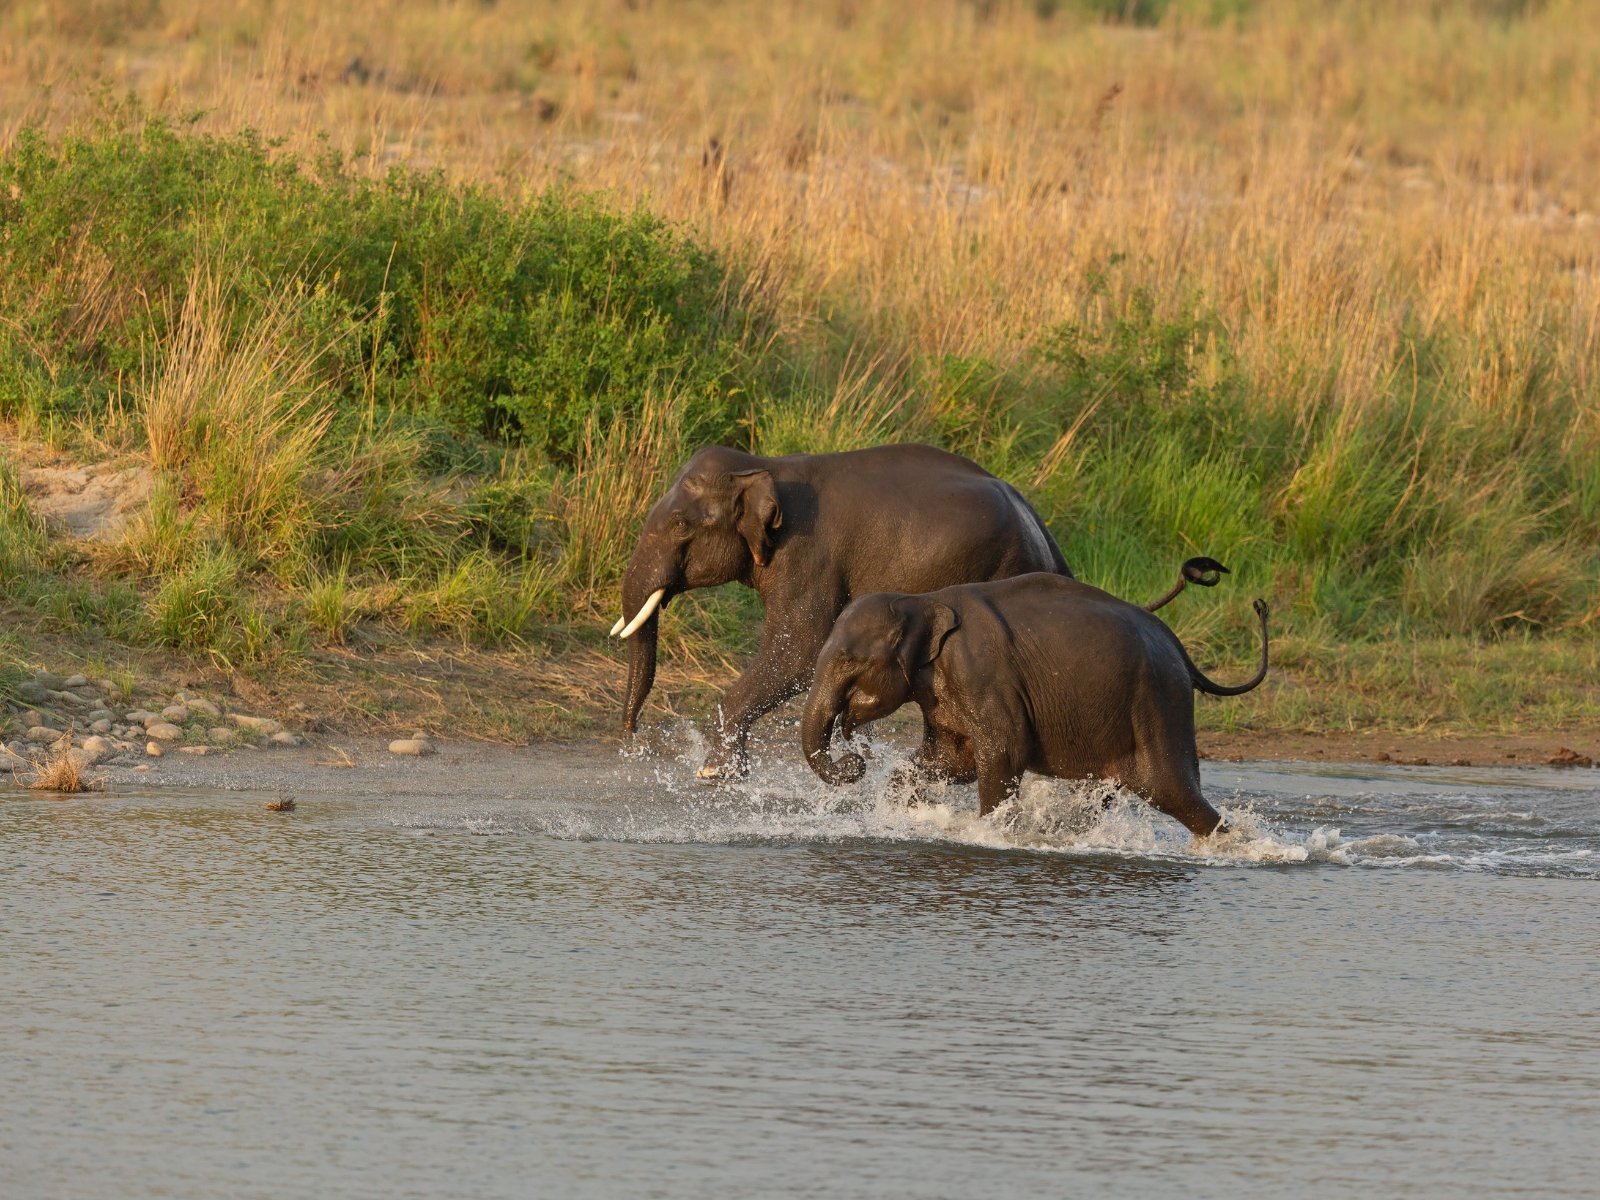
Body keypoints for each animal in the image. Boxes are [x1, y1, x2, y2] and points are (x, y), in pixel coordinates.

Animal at [610, 443, 1224, 780]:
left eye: (680, 525)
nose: (630, 740)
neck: (764, 465)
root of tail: (1046, 536)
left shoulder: (809, 556)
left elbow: (799, 653)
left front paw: (712, 775)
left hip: (996, 566)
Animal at [800, 572, 1270, 838]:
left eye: (849, 660)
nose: (853, 758)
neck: (924, 599)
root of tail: (1180, 649)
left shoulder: (981, 673)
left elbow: (1003, 751)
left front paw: (990, 832)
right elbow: (950, 758)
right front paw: (904, 810)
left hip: (1159, 701)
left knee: (1168, 787)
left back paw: (1234, 843)